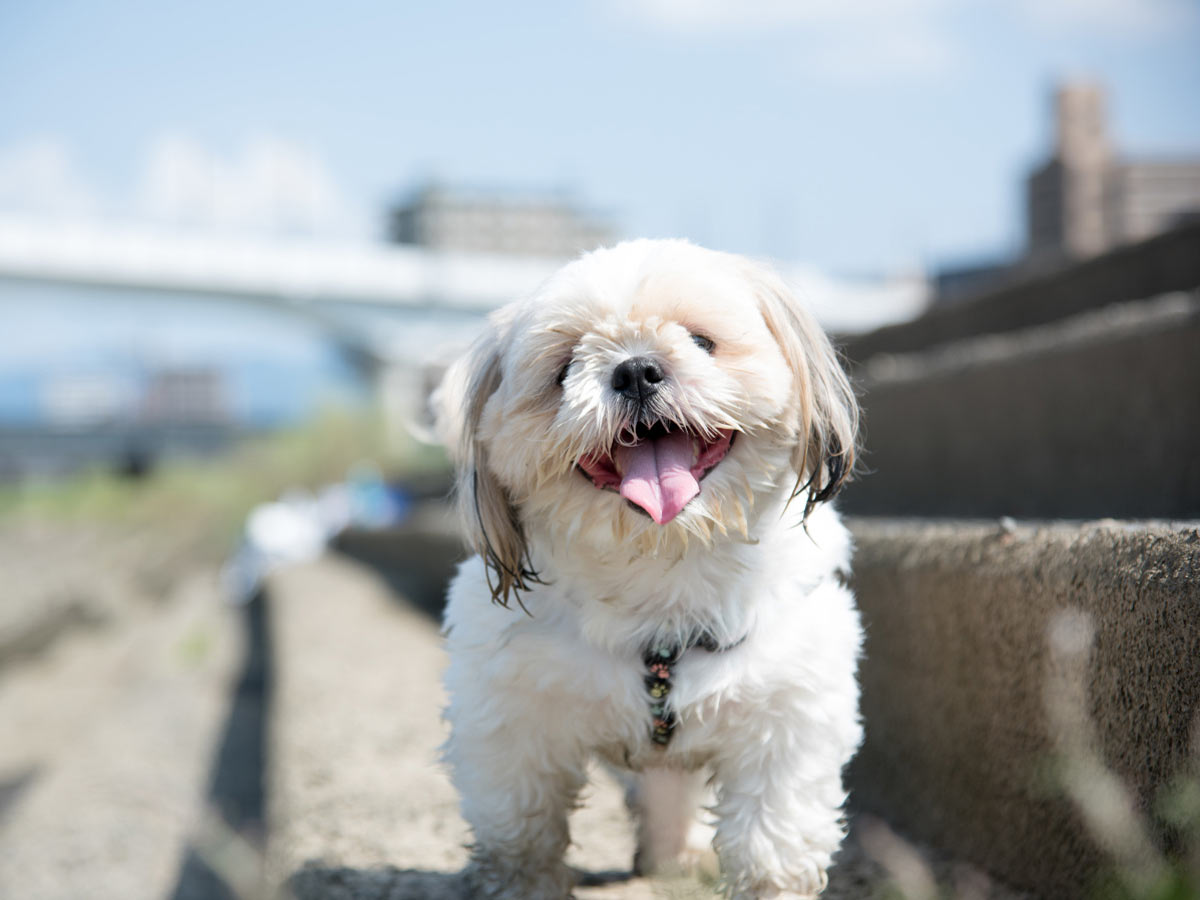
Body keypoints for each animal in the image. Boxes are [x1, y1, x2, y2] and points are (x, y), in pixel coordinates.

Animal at [436, 241, 868, 900]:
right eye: (565, 368)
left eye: (701, 341)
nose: (636, 370)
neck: (663, 566)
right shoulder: (510, 718)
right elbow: (520, 834)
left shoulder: (787, 716)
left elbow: (771, 843)